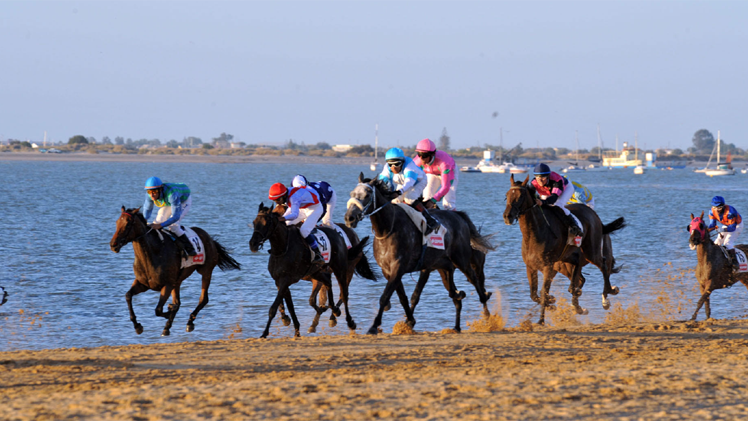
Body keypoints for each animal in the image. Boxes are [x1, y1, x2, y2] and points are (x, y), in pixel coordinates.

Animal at [109, 206, 240, 334]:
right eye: (116, 222)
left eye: (128, 224)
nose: (113, 244)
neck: (154, 254)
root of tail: (210, 238)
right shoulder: (143, 283)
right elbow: (128, 296)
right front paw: (137, 326)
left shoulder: (167, 284)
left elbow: (159, 309)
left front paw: (169, 312)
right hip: (178, 281)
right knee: (179, 301)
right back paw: (168, 326)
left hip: (206, 271)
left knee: (203, 299)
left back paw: (189, 323)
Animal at [250, 202, 376, 336]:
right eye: (254, 222)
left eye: (266, 223)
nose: (252, 244)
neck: (283, 249)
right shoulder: (280, 281)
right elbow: (290, 305)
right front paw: (293, 326)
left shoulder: (287, 280)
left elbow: (275, 307)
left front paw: (265, 333)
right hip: (320, 272)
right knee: (329, 285)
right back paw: (330, 313)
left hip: (344, 270)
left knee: (343, 294)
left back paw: (344, 320)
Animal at [344, 172, 496, 334]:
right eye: (352, 194)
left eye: (366, 195)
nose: (349, 218)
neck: (388, 228)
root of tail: (459, 216)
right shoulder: (388, 270)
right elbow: (402, 297)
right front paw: (409, 321)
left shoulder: (400, 267)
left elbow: (387, 296)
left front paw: (374, 326)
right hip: (444, 266)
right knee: (454, 293)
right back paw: (457, 322)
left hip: (461, 260)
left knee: (475, 280)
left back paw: (487, 316)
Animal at [502, 176, 624, 324]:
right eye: (507, 195)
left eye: (521, 196)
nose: (507, 216)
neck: (534, 233)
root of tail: (594, 214)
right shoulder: (531, 267)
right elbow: (534, 294)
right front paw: (552, 303)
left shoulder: (548, 266)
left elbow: (543, 293)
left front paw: (541, 321)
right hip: (567, 262)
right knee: (580, 278)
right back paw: (579, 304)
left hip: (591, 252)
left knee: (604, 266)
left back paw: (607, 296)